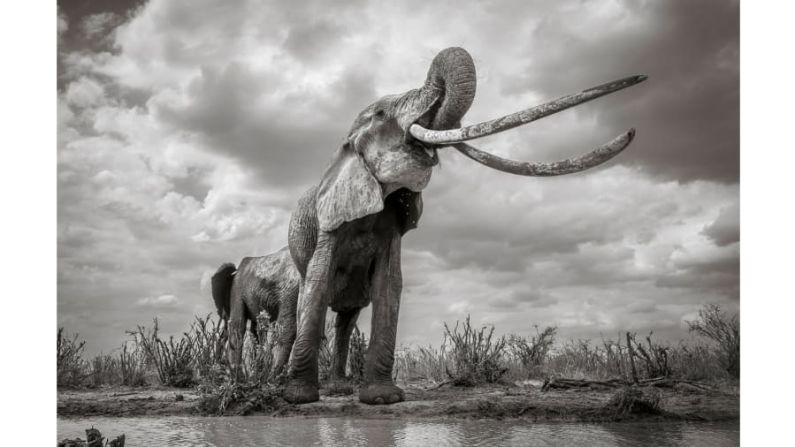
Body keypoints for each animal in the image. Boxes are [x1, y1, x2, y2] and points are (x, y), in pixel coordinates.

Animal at [282, 46, 648, 406]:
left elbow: (389, 284)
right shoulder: (328, 220)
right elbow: (318, 281)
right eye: (382, 113)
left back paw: (337, 390)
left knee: (348, 318)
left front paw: (383, 398)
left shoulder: (392, 222)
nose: (641, 77)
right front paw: (298, 398)